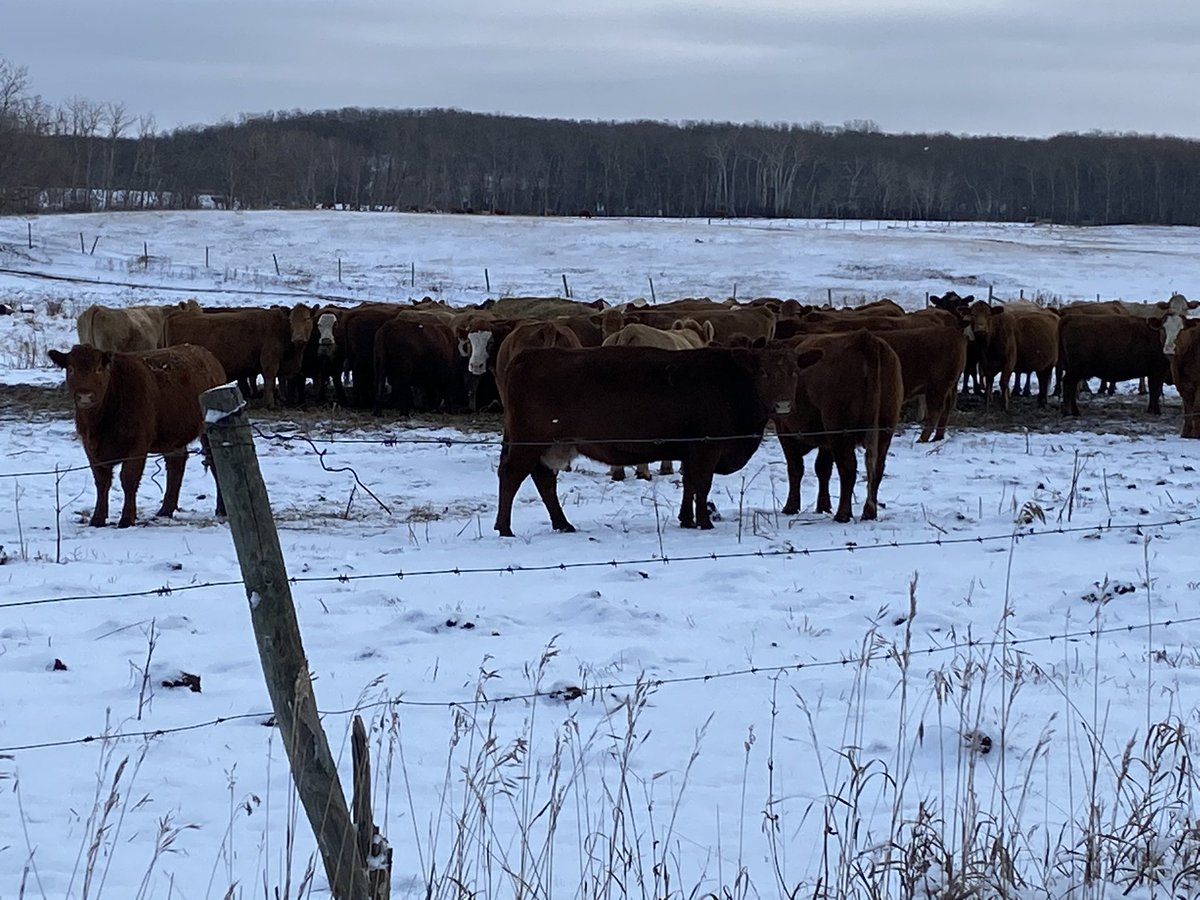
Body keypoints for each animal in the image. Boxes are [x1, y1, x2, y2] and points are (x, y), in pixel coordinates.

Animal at [47, 343, 226, 528]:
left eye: (98, 369)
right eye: (71, 369)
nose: (84, 396)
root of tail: (200, 350)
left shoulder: (137, 445)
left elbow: (128, 479)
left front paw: (127, 518)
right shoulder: (90, 447)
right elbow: (102, 480)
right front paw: (97, 518)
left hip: (207, 431)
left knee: (214, 465)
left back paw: (221, 509)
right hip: (173, 435)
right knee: (176, 464)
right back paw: (165, 510)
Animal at [493, 344, 809, 536]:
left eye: (794, 371)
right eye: (764, 372)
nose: (783, 404)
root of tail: (529, 356)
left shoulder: (689, 451)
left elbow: (690, 484)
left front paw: (686, 519)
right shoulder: (707, 447)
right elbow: (702, 484)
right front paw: (704, 522)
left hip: (550, 446)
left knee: (544, 480)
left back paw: (563, 524)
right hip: (529, 443)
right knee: (511, 475)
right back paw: (505, 527)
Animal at [774, 330, 904, 522]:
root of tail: (864, 338)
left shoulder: (784, 429)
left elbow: (795, 467)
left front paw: (791, 507)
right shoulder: (825, 438)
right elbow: (822, 468)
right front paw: (823, 505)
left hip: (839, 428)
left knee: (848, 468)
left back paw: (843, 514)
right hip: (884, 428)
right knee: (877, 468)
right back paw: (869, 512)